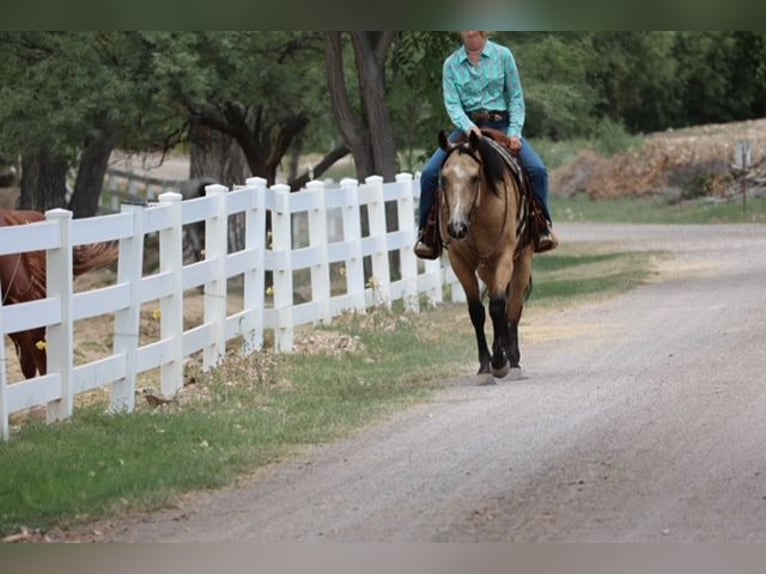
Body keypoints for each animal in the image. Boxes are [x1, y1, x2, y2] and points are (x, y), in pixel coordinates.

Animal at [438, 130, 540, 382]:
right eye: (444, 179)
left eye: (475, 177)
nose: (457, 228)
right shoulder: (459, 261)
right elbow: (477, 311)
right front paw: (486, 365)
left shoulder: (504, 257)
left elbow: (497, 307)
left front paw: (500, 362)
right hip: (485, 269)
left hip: (522, 261)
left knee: (513, 309)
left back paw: (513, 360)